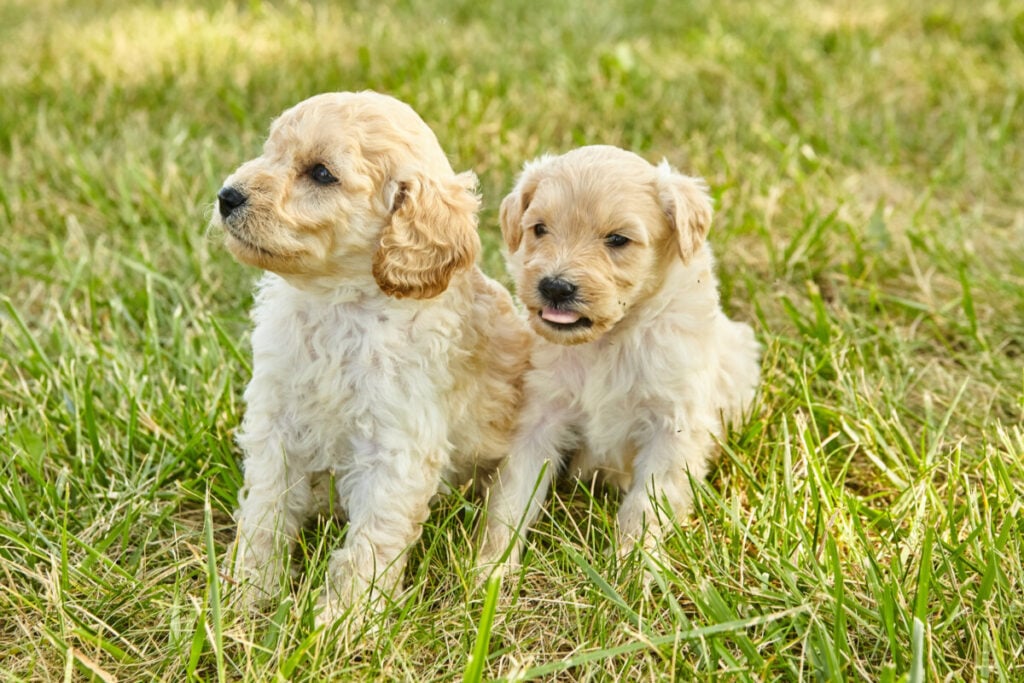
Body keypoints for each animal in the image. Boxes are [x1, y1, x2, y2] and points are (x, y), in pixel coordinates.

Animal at [217, 92, 536, 630]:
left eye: (321, 173)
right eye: (270, 151)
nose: (226, 196)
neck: (337, 304)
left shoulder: (395, 448)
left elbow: (371, 542)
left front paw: (340, 623)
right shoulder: (276, 423)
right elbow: (265, 512)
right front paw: (246, 596)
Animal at [479, 145, 761, 573]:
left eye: (617, 239)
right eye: (539, 229)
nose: (555, 287)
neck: (609, 342)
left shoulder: (672, 426)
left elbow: (646, 505)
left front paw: (632, 570)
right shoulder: (539, 414)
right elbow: (512, 495)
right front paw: (491, 569)